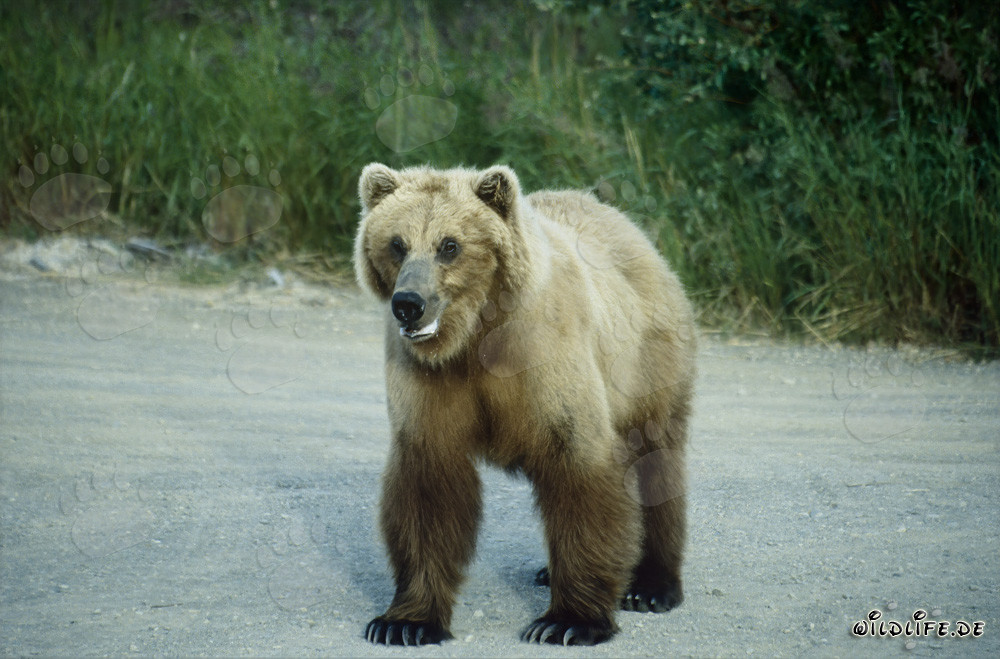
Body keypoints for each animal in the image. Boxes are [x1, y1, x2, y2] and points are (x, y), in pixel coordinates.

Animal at [353, 163, 696, 646]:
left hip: (647, 367)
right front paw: (404, 623)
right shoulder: (431, 383)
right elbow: (427, 488)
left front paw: (567, 621)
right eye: (397, 243)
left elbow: (580, 472)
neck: (475, 336)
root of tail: (631, 228)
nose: (409, 304)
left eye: (450, 245)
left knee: (657, 461)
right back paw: (549, 571)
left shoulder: (545, 363)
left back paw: (651, 586)